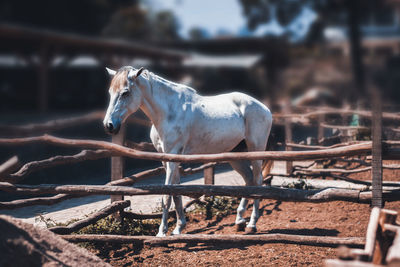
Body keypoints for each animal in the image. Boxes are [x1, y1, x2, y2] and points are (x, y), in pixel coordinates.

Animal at [103, 66, 272, 237]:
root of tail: (264, 108)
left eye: (125, 92)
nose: (109, 125)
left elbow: (166, 196)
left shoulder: (172, 157)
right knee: (249, 181)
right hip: (235, 156)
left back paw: (252, 224)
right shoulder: (167, 160)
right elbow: (176, 192)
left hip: (255, 151)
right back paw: (239, 220)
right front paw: (178, 228)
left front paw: (162, 232)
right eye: (110, 92)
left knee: (258, 181)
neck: (169, 111)